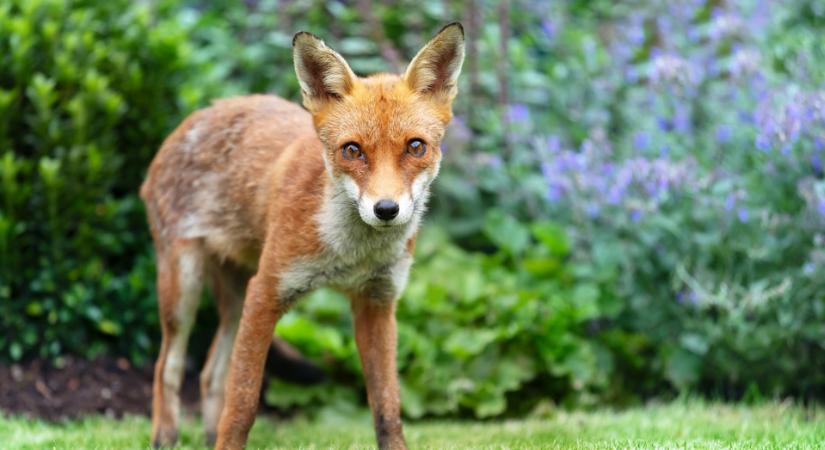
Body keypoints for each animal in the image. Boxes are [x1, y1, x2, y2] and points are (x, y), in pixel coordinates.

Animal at [139, 23, 466, 450]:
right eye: (352, 150)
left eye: (415, 147)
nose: (386, 210)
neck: (348, 256)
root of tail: (192, 117)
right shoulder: (267, 293)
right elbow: (242, 402)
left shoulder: (377, 303)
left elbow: (387, 410)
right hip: (184, 288)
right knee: (169, 365)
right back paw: (165, 436)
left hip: (235, 298)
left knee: (211, 375)